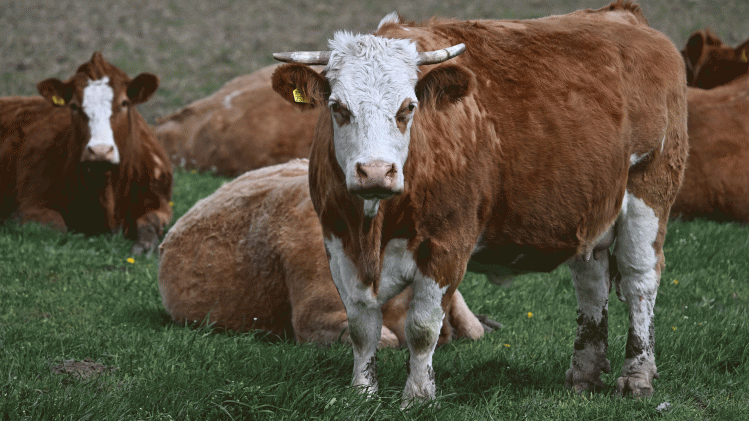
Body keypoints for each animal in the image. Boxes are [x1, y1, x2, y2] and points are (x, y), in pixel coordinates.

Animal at [0, 52, 172, 255]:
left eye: (124, 103)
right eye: (74, 105)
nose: (100, 151)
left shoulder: (160, 203)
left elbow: (150, 222)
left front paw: (145, 246)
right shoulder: (29, 205)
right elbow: (57, 227)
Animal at [271, 1, 687, 404]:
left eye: (408, 108)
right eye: (338, 108)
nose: (375, 172)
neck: (374, 226)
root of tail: (624, 16)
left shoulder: (446, 245)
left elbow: (422, 328)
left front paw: (418, 396)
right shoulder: (339, 243)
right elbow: (361, 326)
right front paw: (362, 392)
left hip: (650, 190)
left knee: (639, 279)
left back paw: (637, 375)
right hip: (591, 212)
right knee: (591, 283)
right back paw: (585, 375)